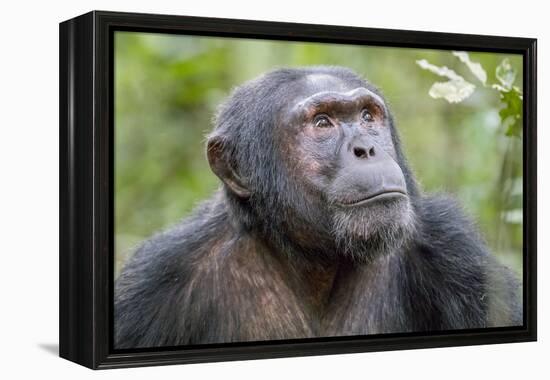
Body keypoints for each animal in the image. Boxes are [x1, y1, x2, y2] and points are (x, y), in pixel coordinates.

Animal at [114, 65, 524, 348]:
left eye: (367, 116)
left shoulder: (456, 251)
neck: (316, 259)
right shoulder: (153, 283)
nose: (365, 148)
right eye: (322, 123)